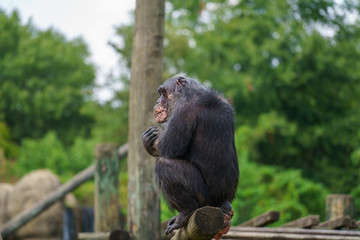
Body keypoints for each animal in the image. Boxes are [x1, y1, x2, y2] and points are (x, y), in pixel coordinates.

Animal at [143, 73, 239, 234]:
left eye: (163, 93)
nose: (157, 102)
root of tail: (222, 201)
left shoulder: (183, 110)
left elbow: (167, 147)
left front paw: (149, 140)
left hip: (205, 197)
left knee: (164, 166)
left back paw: (185, 214)